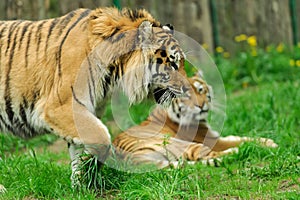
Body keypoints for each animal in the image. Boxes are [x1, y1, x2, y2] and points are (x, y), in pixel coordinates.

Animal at [0, 6, 190, 186]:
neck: (113, 72)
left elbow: (78, 152)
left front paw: (80, 186)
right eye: (172, 63)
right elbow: (101, 137)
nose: (188, 88)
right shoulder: (59, 107)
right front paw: (90, 170)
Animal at [113, 71, 278, 168]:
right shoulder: (213, 140)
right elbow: (241, 140)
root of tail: (128, 159)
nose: (201, 105)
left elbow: (241, 136)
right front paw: (270, 145)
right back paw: (237, 152)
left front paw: (268, 141)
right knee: (205, 155)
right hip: (182, 144)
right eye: (186, 95)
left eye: (200, 90)